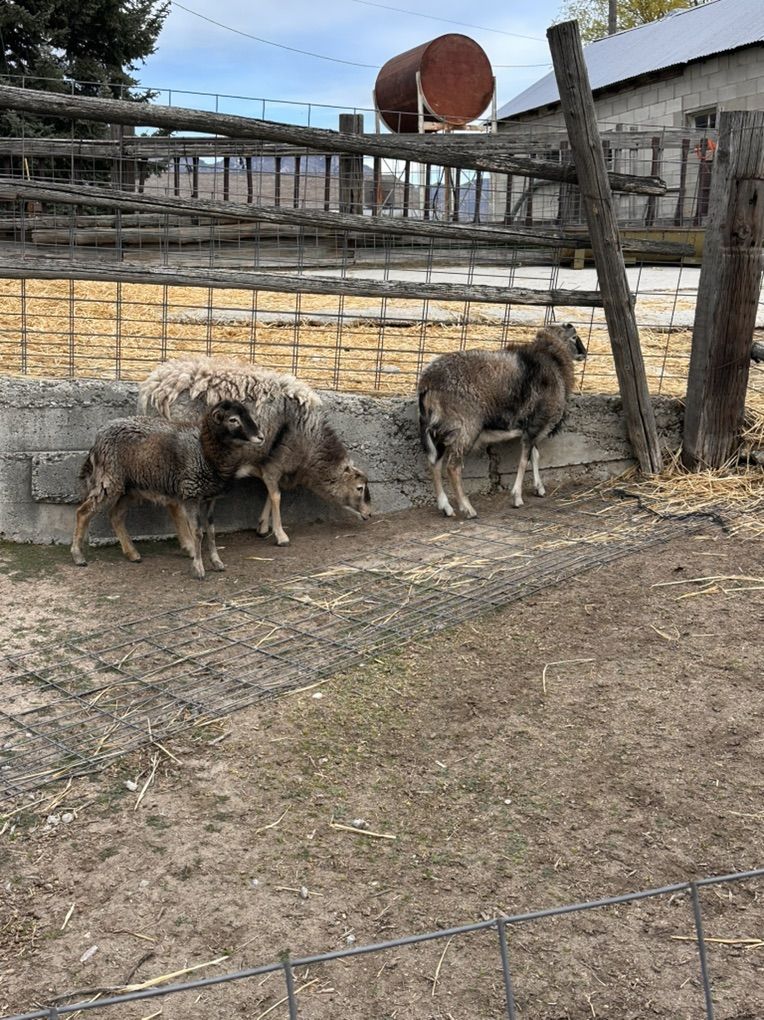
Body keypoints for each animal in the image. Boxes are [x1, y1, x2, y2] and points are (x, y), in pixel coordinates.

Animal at [70, 400, 263, 579]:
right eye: (233, 420)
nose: (261, 437)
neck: (205, 452)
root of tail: (98, 437)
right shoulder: (191, 494)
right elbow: (197, 532)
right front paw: (198, 568)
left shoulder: (210, 498)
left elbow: (211, 531)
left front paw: (217, 562)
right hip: (109, 480)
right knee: (84, 512)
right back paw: (78, 556)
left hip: (130, 487)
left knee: (115, 515)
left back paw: (133, 554)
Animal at [138, 357, 372, 547]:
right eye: (359, 488)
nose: (369, 514)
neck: (309, 441)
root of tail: (157, 387)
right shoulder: (276, 462)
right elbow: (276, 496)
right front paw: (281, 535)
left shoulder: (266, 464)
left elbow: (270, 493)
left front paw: (263, 527)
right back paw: (188, 541)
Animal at [417, 323, 587, 518]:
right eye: (574, 337)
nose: (584, 353)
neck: (554, 359)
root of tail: (427, 384)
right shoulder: (535, 425)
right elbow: (524, 460)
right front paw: (517, 498)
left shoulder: (532, 427)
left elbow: (534, 456)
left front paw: (539, 489)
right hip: (465, 429)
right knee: (453, 467)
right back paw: (468, 509)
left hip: (440, 430)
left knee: (434, 463)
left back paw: (446, 507)